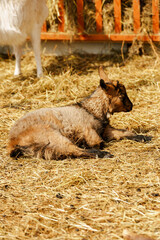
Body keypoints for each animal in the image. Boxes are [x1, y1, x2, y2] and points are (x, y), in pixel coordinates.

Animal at [7, 66, 136, 159]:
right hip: (50, 135)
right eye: (121, 95)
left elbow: (125, 133)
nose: (131, 106)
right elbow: (99, 143)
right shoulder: (91, 133)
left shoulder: (106, 130)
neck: (90, 109)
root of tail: (12, 142)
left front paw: (140, 137)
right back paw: (103, 154)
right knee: (72, 150)